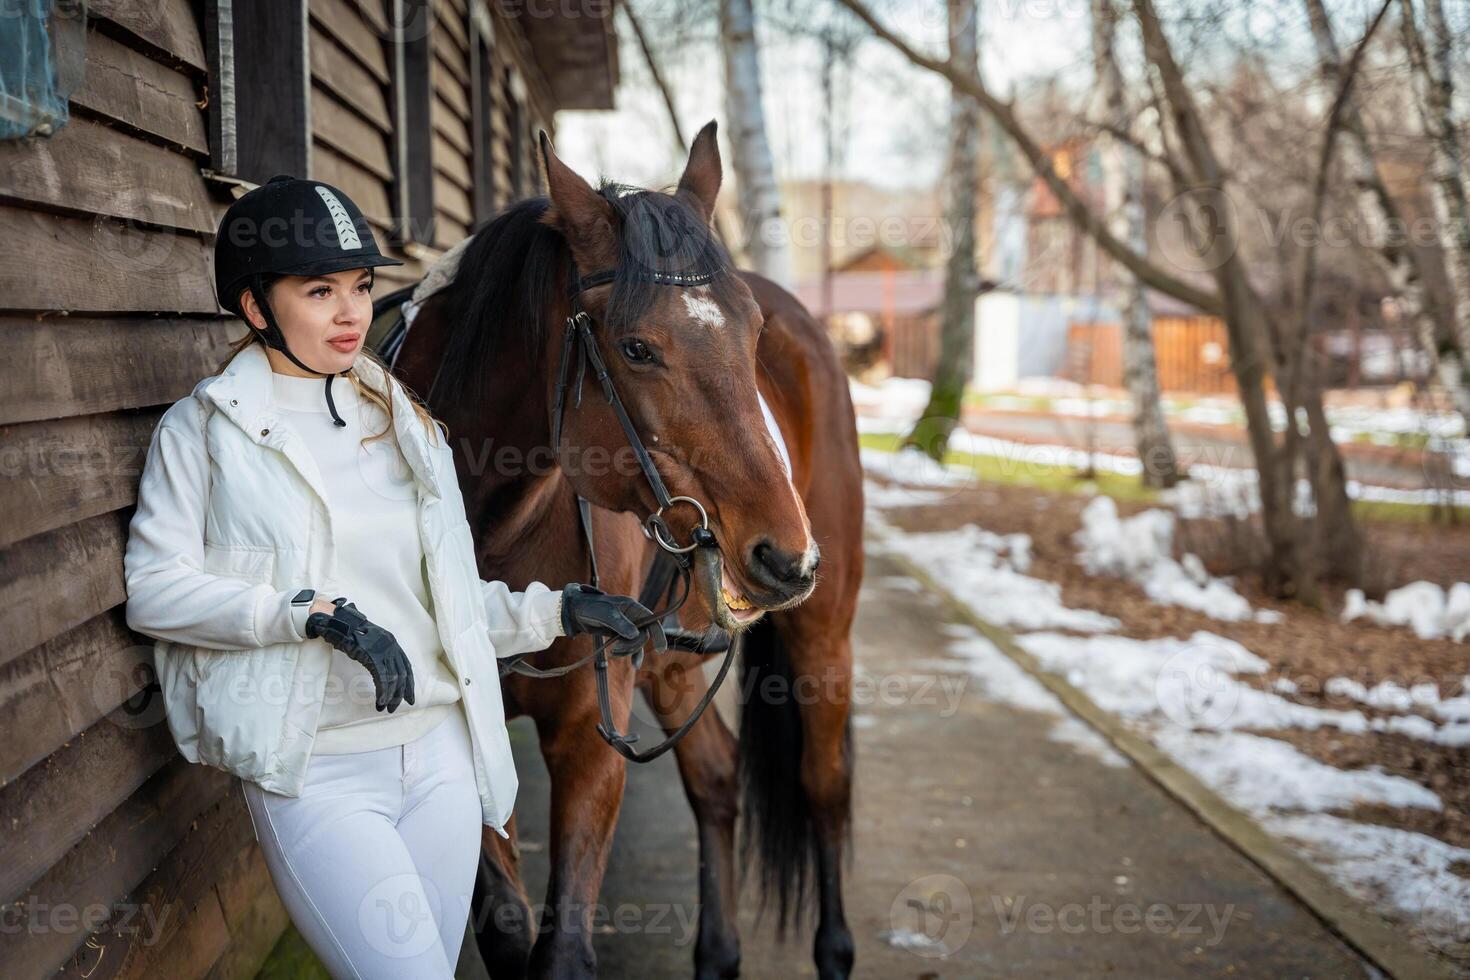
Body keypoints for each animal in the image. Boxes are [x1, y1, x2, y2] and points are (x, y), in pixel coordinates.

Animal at [396, 124, 864, 980]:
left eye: (753, 337)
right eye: (637, 348)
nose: (785, 555)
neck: (490, 532)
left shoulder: (590, 740)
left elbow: (564, 948)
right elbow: (506, 926)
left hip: (823, 633)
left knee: (823, 784)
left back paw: (834, 949)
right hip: (673, 660)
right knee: (716, 780)